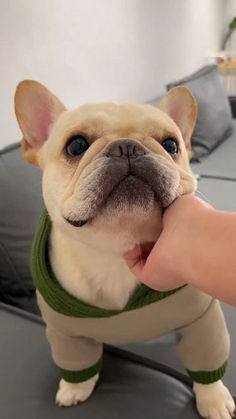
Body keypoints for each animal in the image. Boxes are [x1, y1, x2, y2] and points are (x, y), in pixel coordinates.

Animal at [14, 80, 234, 418]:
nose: (127, 146)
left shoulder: (202, 322)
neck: (114, 251)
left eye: (171, 145)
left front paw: (213, 398)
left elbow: (207, 361)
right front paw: (75, 387)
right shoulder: (65, 334)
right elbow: (76, 363)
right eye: (76, 146)